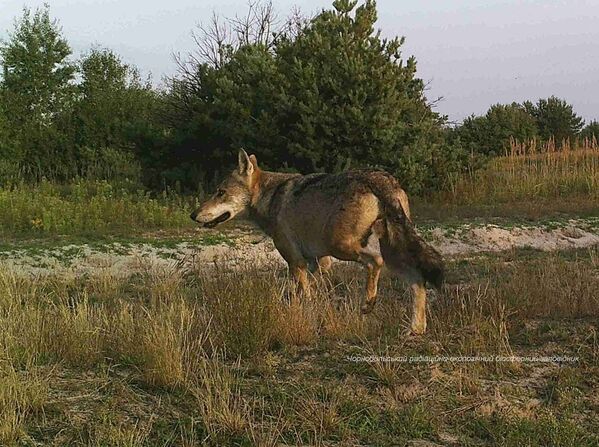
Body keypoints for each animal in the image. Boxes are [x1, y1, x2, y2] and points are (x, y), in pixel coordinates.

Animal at [190, 152, 442, 334]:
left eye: (220, 193)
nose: (193, 215)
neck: (270, 197)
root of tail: (382, 178)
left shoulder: (296, 261)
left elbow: (305, 294)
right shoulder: (319, 262)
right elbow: (303, 291)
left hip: (344, 246)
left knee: (375, 262)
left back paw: (368, 304)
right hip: (389, 254)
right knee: (418, 281)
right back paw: (416, 329)